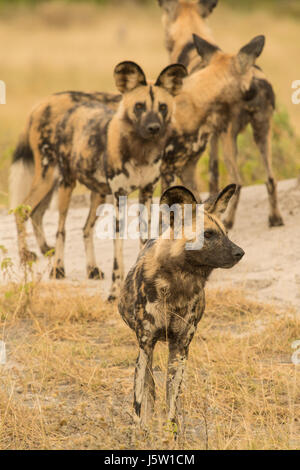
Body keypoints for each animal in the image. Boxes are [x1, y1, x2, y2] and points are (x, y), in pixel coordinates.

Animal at [11, 61, 188, 298]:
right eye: (139, 106)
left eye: (162, 107)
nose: (154, 128)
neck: (140, 151)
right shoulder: (119, 196)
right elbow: (117, 247)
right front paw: (115, 291)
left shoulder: (147, 191)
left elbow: (144, 238)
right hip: (58, 181)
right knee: (49, 223)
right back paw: (50, 264)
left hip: (97, 193)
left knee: (83, 228)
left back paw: (91, 268)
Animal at [118, 183, 245, 426]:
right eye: (208, 234)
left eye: (226, 233)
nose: (240, 252)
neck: (178, 283)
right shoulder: (146, 344)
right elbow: (140, 398)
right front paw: (140, 428)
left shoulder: (180, 346)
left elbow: (172, 404)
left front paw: (171, 431)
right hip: (146, 351)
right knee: (148, 385)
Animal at [158, 0, 284, 229]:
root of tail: (256, 80)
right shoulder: (211, 137)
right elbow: (213, 176)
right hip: (262, 133)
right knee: (270, 178)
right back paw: (275, 218)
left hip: (229, 140)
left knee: (239, 183)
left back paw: (229, 221)